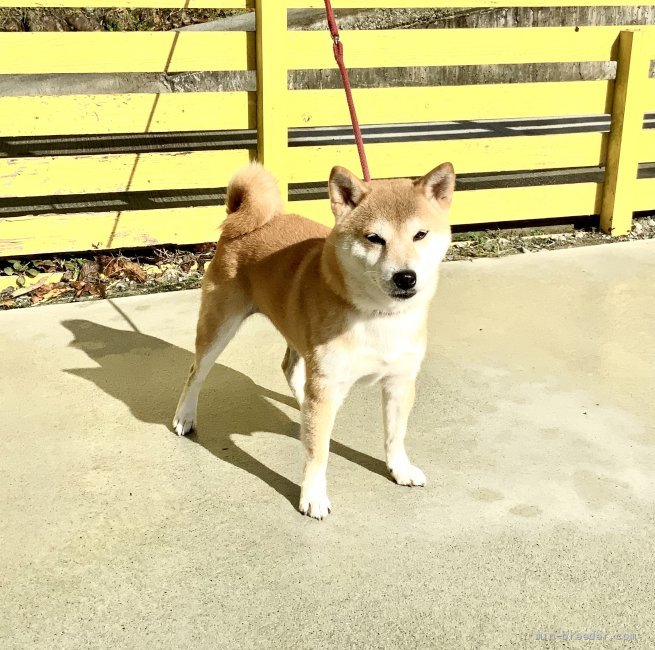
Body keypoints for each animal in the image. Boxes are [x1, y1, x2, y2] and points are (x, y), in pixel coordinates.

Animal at [174, 161, 456, 516]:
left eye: (420, 235)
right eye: (374, 238)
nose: (405, 277)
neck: (378, 315)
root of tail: (240, 221)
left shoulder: (399, 380)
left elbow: (395, 435)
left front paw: (400, 469)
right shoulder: (326, 383)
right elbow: (317, 454)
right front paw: (313, 495)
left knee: (289, 368)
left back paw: (300, 404)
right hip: (219, 328)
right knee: (195, 372)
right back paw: (185, 416)